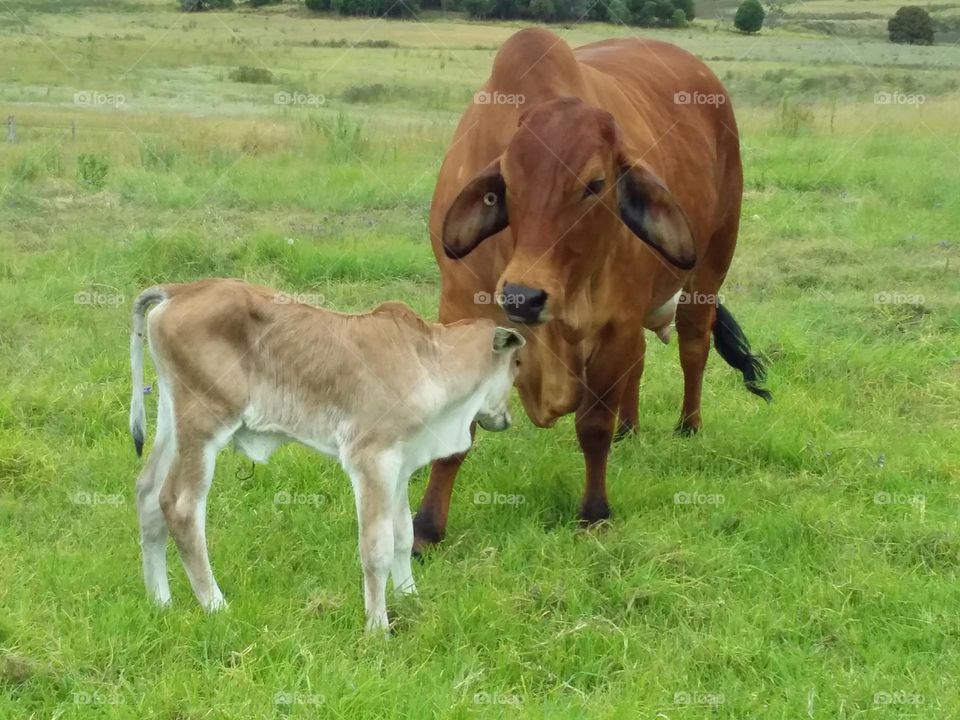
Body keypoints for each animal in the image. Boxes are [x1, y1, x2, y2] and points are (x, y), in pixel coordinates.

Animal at [127, 279, 524, 631]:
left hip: (172, 421)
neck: (428, 364)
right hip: (204, 423)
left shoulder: (400, 464)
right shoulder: (372, 459)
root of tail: (180, 290)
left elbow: (403, 535)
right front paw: (378, 627)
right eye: (517, 364)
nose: (507, 417)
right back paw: (215, 605)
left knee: (148, 492)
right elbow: (376, 548)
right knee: (180, 506)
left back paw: (160, 601)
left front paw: (410, 598)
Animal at [413, 28, 770, 552]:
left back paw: (687, 426)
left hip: (708, 271)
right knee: (640, 362)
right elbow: (457, 434)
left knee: (693, 349)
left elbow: (594, 427)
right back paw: (631, 428)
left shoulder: (615, 323)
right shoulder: (463, 314)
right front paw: (426, 529)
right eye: (506, 186)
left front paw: (595, 513)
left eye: (595, 184)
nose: (522, 296)